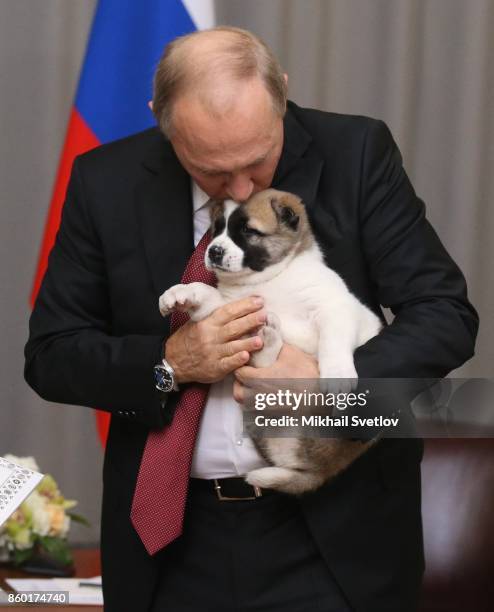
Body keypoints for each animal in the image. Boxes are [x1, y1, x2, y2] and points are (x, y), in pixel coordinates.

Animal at [158, 189, 382, 494]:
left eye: (248, 231)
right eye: (218, 228)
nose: (213, 251)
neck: (268, 280)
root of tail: (322, 470)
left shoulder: (333, 307)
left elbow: (333, 341)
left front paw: (337, 376)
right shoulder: (232, 310)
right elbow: (205, 293)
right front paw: (180, 293)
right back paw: (268, 336)